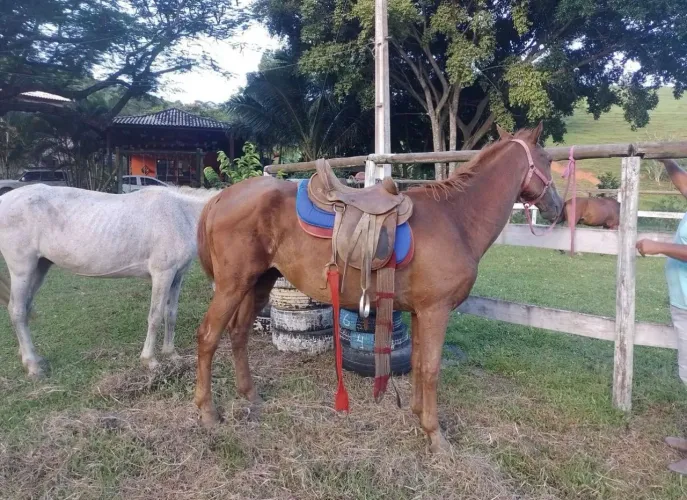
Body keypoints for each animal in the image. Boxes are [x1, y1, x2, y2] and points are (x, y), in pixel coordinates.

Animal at [0, 183, 218, 378]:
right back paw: (33, 366)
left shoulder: (177, 276)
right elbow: (155, 316)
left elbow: (170, 314)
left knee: (25, 308)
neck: (181, 214)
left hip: (39, 268)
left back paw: (30, 356)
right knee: (17, 311)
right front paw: (150, 360)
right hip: (22, 271)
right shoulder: (162, 274)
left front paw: (171, 354)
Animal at [193, 123, 563, 453]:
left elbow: (417, 362)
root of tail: (222, 197)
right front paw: (436, 436)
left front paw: (418, 417)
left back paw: (250, 395)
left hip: (259, 282)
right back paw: (208, 412)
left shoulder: (420, 312)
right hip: (232, 285)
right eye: (546, 159)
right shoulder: (436, 311)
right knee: (209, 336)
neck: (455, 219)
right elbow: (431, 369)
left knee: (238, 333)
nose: (558, 207)